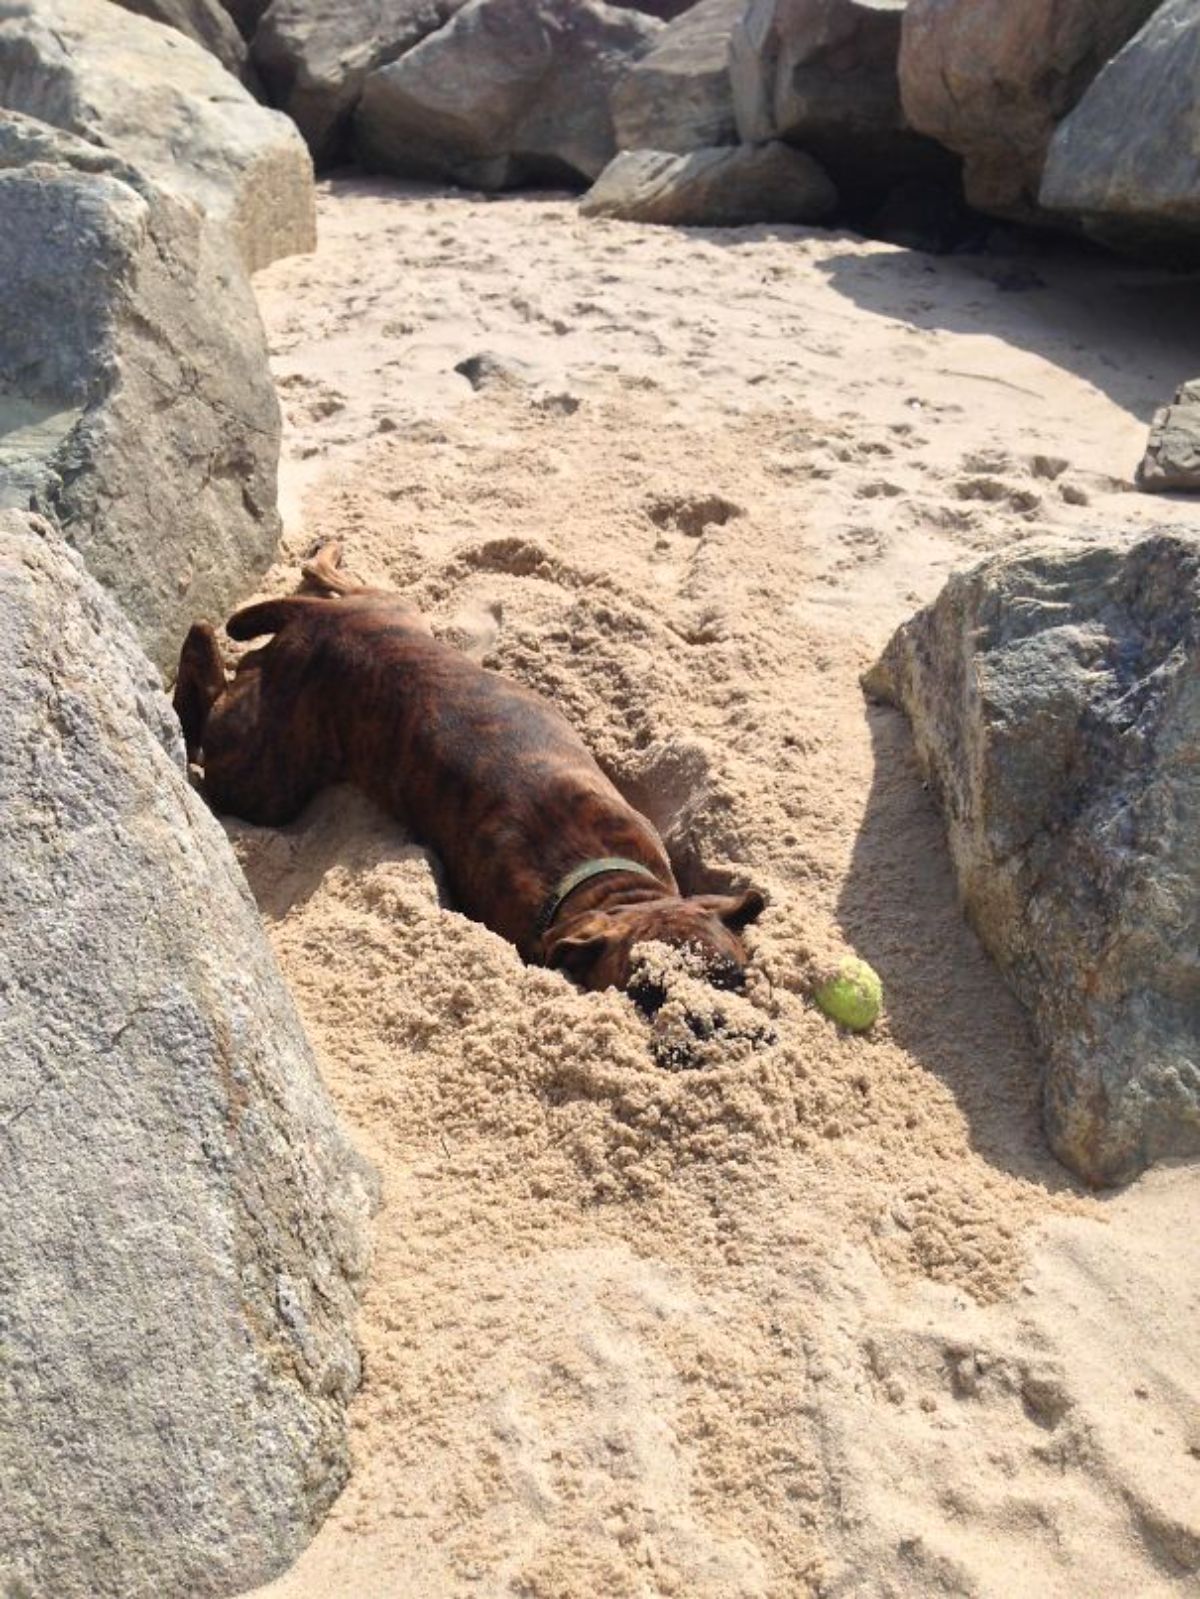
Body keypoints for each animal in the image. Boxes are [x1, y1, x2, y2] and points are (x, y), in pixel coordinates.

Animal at [173, 546, 764, 984]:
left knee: (322, 579)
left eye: (734, 979)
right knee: (204, 721)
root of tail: (313, 624)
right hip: (263, 779)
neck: (597, 874)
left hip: (389, 610)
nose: (713, 1026)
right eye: (646, 992)